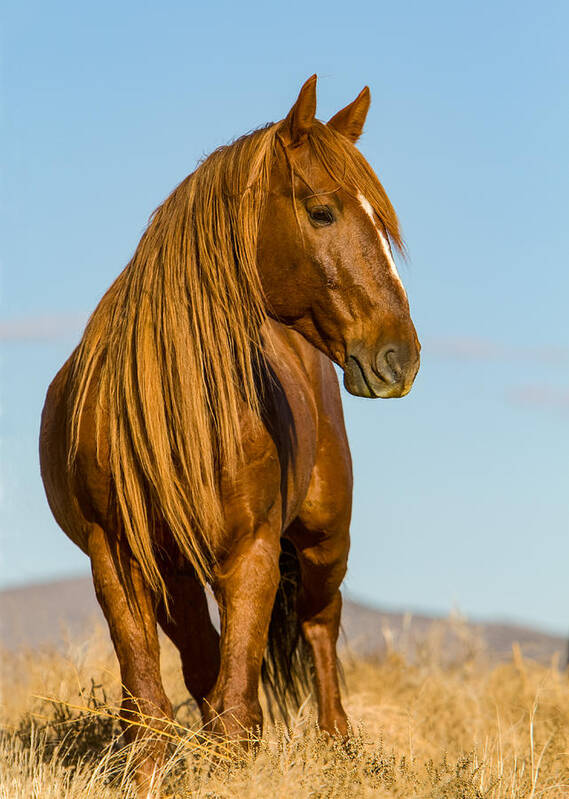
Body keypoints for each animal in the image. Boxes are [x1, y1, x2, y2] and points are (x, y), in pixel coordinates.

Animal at [40, 75, 420, 792]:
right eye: (322, 212)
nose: (399, 357)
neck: (178, 409)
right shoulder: (119, 558)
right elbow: (152, 705)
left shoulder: (252, 553)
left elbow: (239, 706)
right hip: (179, 578)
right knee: (202, 666)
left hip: (323, 540)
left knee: (319, 632)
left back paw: (337, 746)